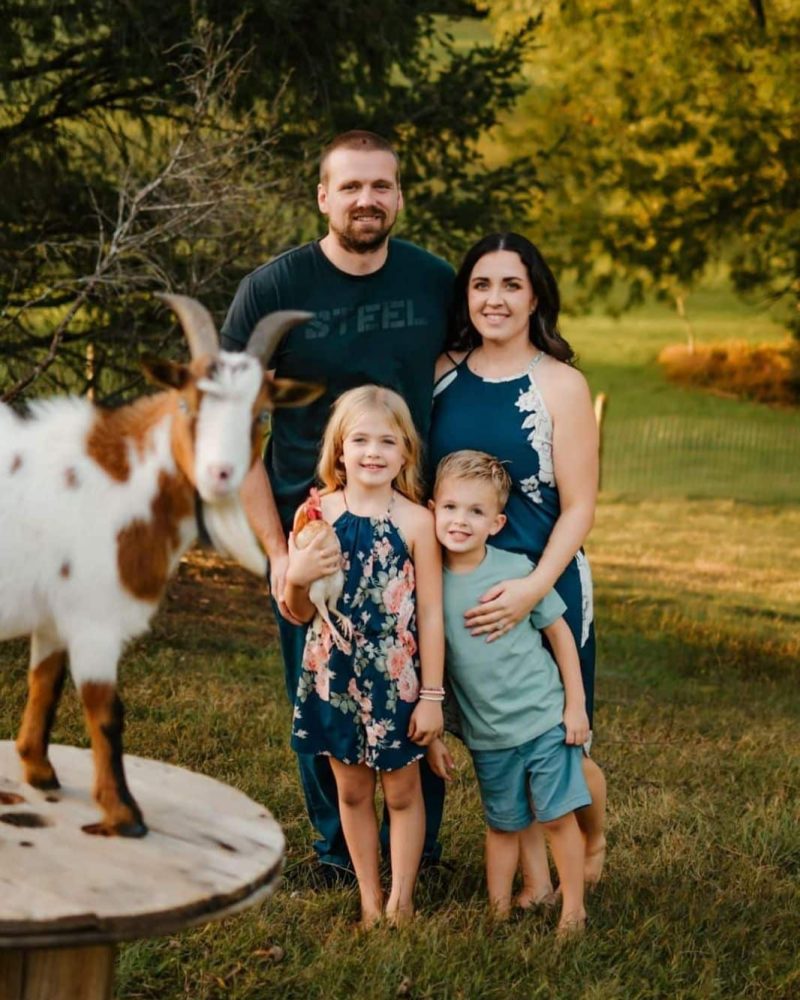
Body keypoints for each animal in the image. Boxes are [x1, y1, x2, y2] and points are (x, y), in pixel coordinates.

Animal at [0, 296, 318, 836]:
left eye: (260, 415)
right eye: (188, 404)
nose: (220, 473)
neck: (118, 477)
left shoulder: (56, 615)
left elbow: (45, 682)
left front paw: (38, 770)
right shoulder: (94, 617)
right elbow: (107, 711)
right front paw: (124, 814)